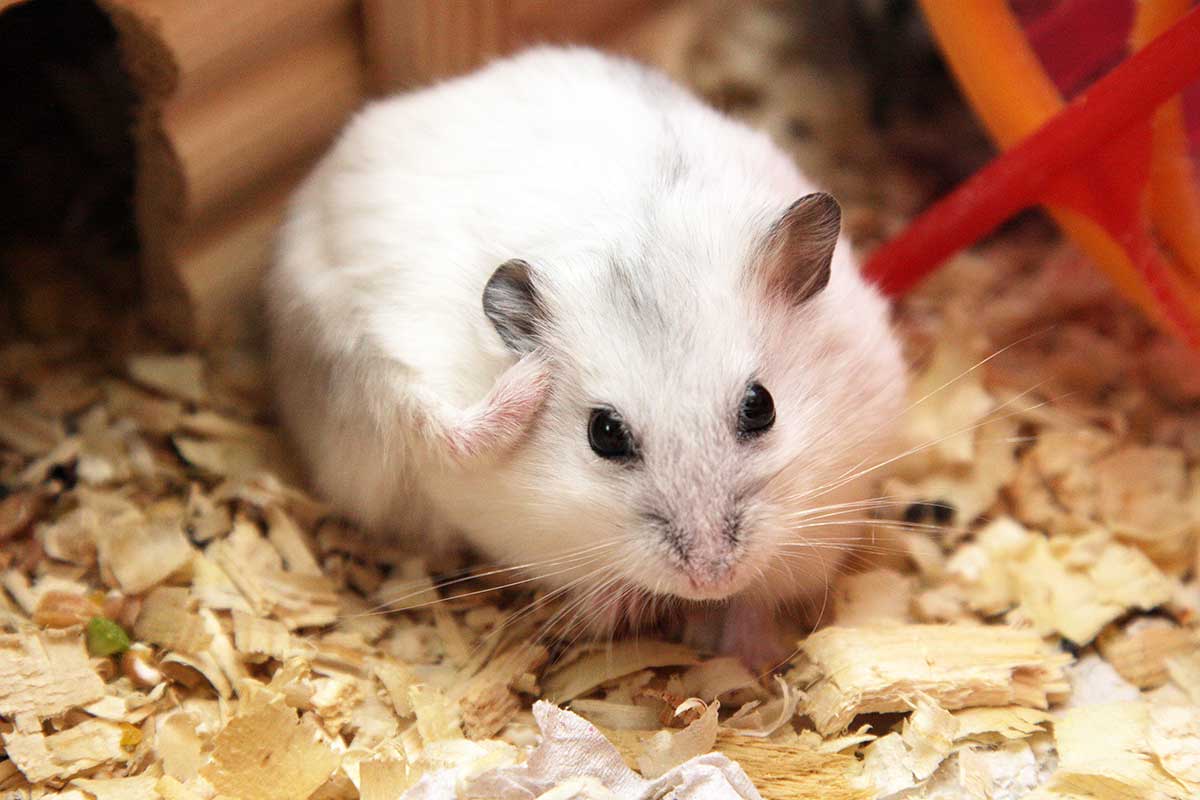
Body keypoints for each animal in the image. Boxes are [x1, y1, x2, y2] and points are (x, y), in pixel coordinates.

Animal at [267, 46, 907, 665]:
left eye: (761, 406)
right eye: (604, 434)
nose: (709, 578)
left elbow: (757, 601)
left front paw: (756, 657)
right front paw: (632, 611)